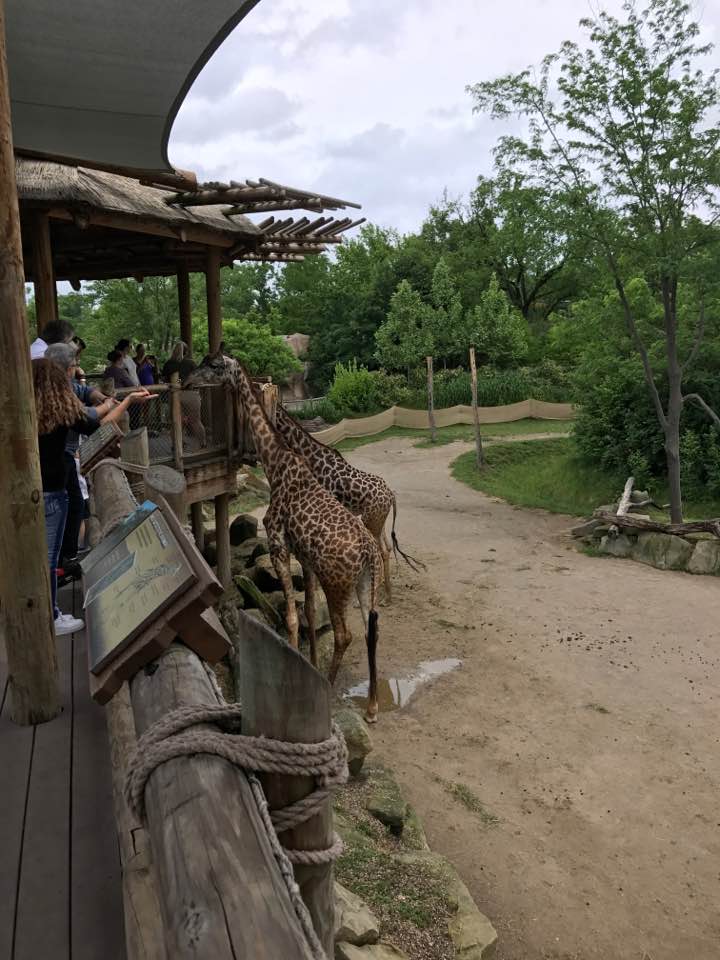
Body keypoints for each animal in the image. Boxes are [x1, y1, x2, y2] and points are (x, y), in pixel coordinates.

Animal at [184, 349, 384, 721]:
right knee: (371, 629)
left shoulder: (278, 544)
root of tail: (368, 552)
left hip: (337, 583)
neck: (274, 462)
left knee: (345, 634)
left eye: (213, 365)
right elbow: (308, 612)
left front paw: (296, 665)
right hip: (366, 582)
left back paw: (329, 688)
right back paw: (373, 706)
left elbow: (292, 617)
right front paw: (309, 662)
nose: (187, 381)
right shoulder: (303, 555)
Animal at [264, 400, 425, 601]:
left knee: (381, 550)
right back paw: (386, 592)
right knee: (387, 548)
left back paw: (381, 595)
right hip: (378, 520)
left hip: (371, 520)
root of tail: (391, 496)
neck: (313, 458)